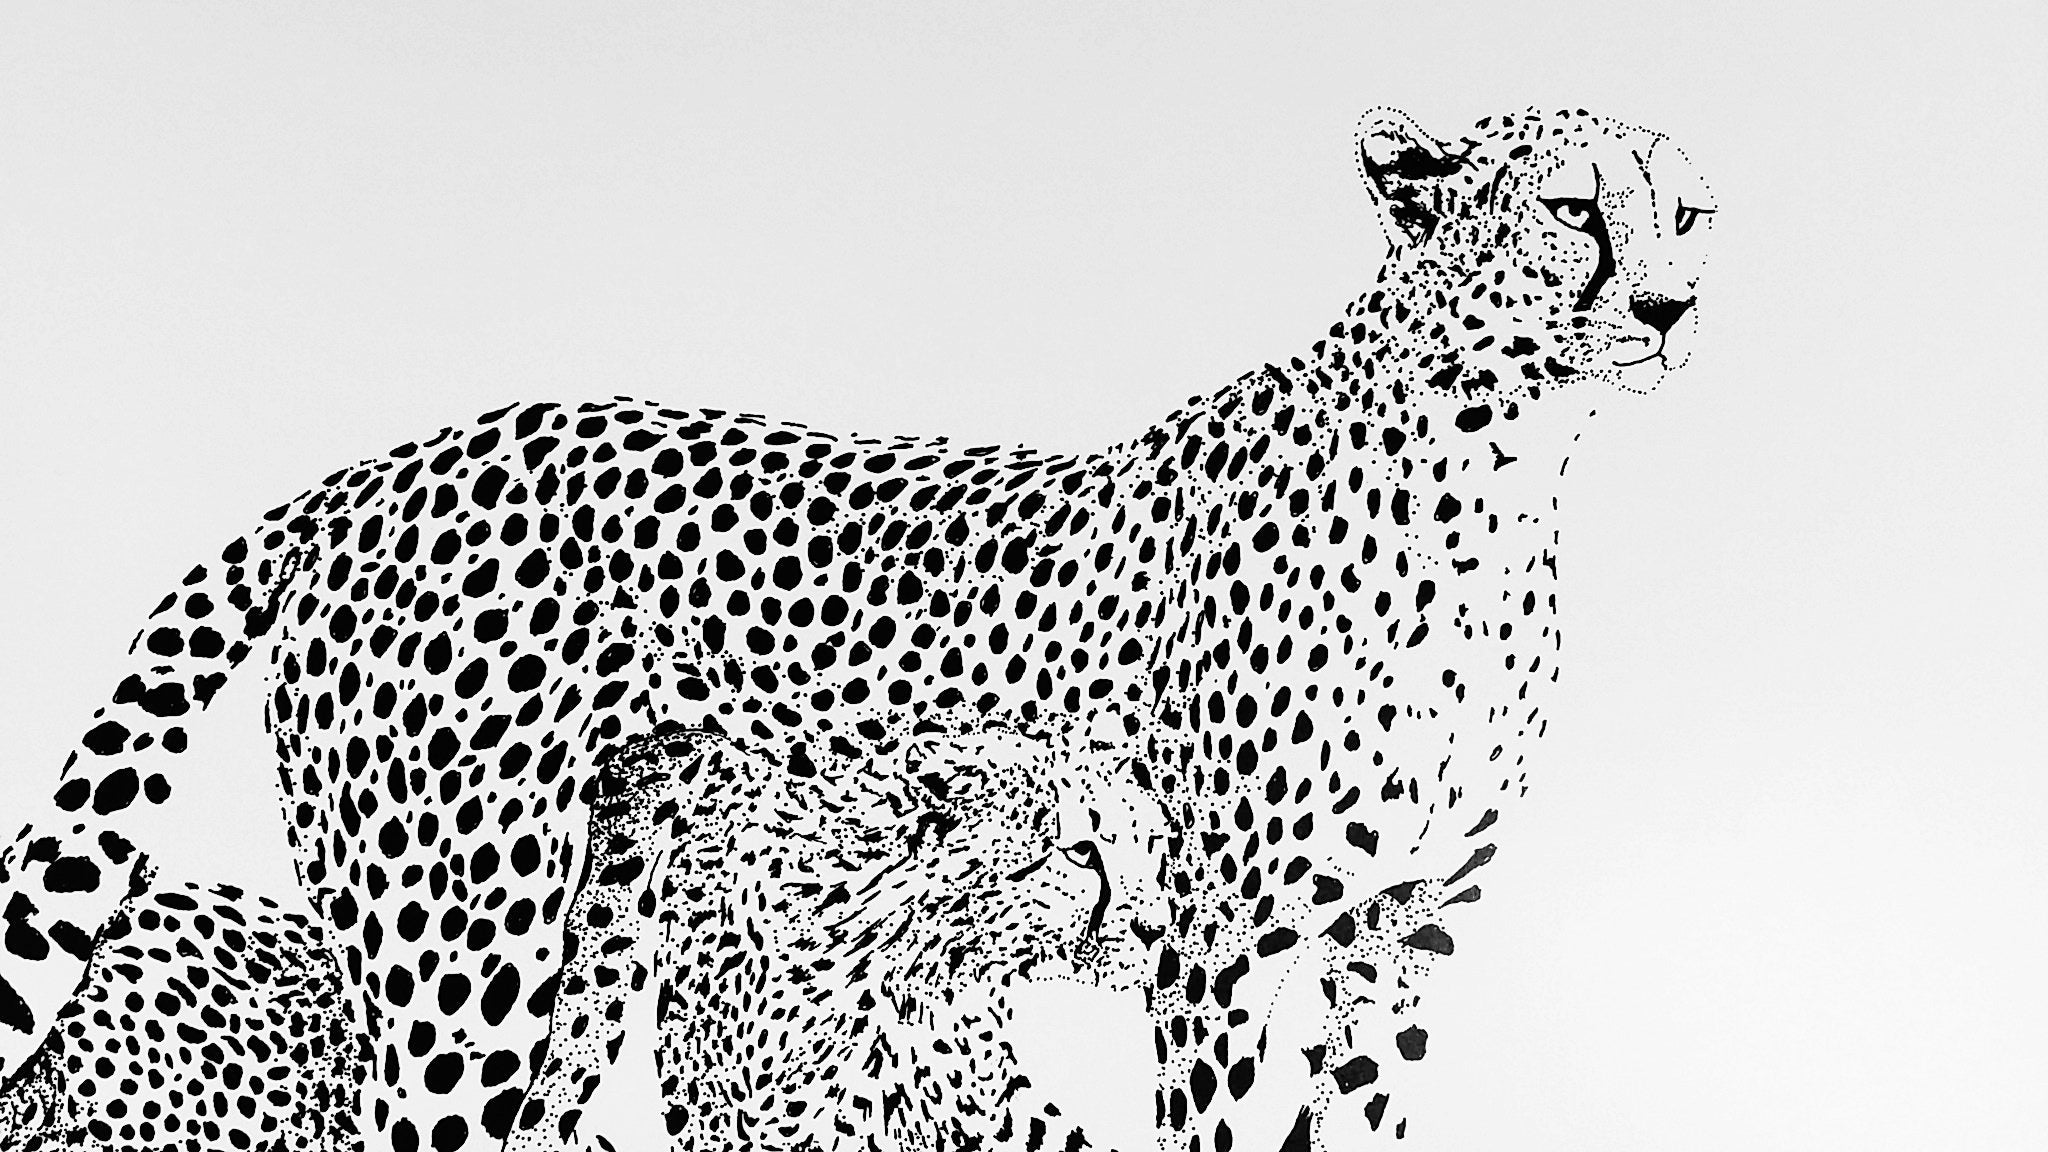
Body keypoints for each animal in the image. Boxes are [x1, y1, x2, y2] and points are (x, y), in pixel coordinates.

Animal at [0, 103, 1714, 1150]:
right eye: (1575, 213)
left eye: (1688, 212)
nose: (1673, 309)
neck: (1504, 475)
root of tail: (396, 458)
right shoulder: (1218, 948)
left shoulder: (1404, 941)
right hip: (456, 953)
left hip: (591, 945)